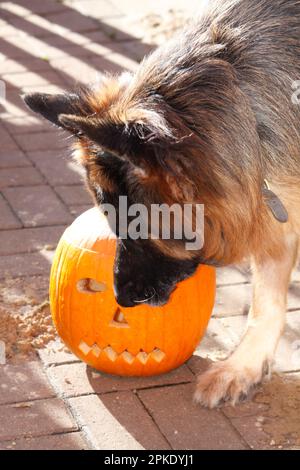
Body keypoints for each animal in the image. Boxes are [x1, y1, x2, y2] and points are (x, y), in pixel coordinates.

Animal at [24, 0, 300, 406]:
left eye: (139, 225)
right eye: (106, 217)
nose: (121, 299)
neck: (250, 116)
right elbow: (266, 302)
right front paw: (243, 367)